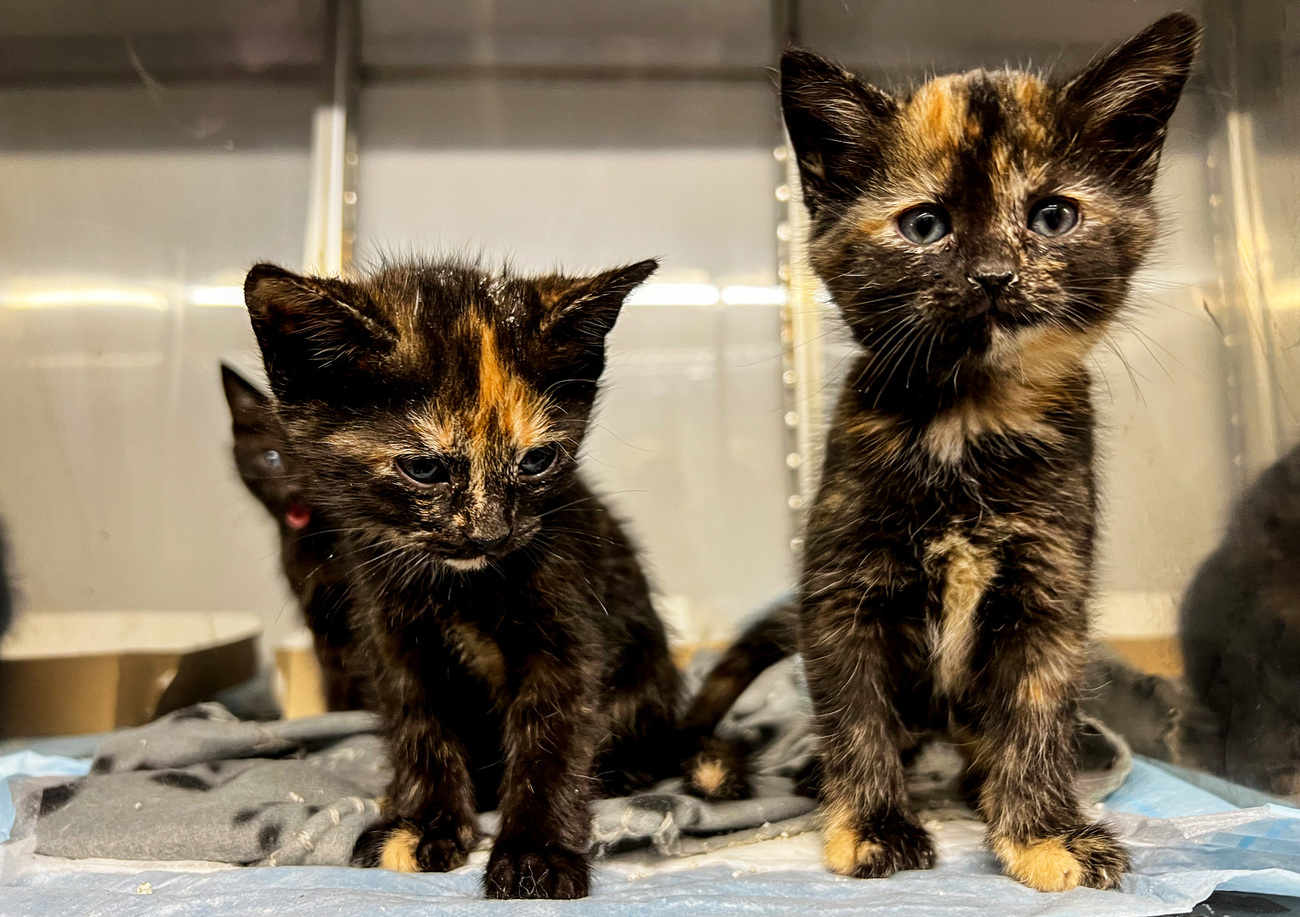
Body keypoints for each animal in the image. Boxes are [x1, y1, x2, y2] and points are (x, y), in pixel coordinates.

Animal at [240, 253, 681, 900]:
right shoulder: (392, 634)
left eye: (536, 461)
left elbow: (552, 739)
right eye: (423, 469)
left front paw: (536, 854)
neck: (461, 585)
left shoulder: (569, 624)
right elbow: (420, 724)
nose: (492, 535)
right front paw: (423, 823)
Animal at [769, 12, 1196, 884]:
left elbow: (1035, 717)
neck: (967, 421)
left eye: (1054, 217)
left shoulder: (1050, 593)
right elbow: (857, 715)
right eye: (924, 225)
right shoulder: (842, 591)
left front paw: (1042, 831)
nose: (995, 274)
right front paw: (872, 822)